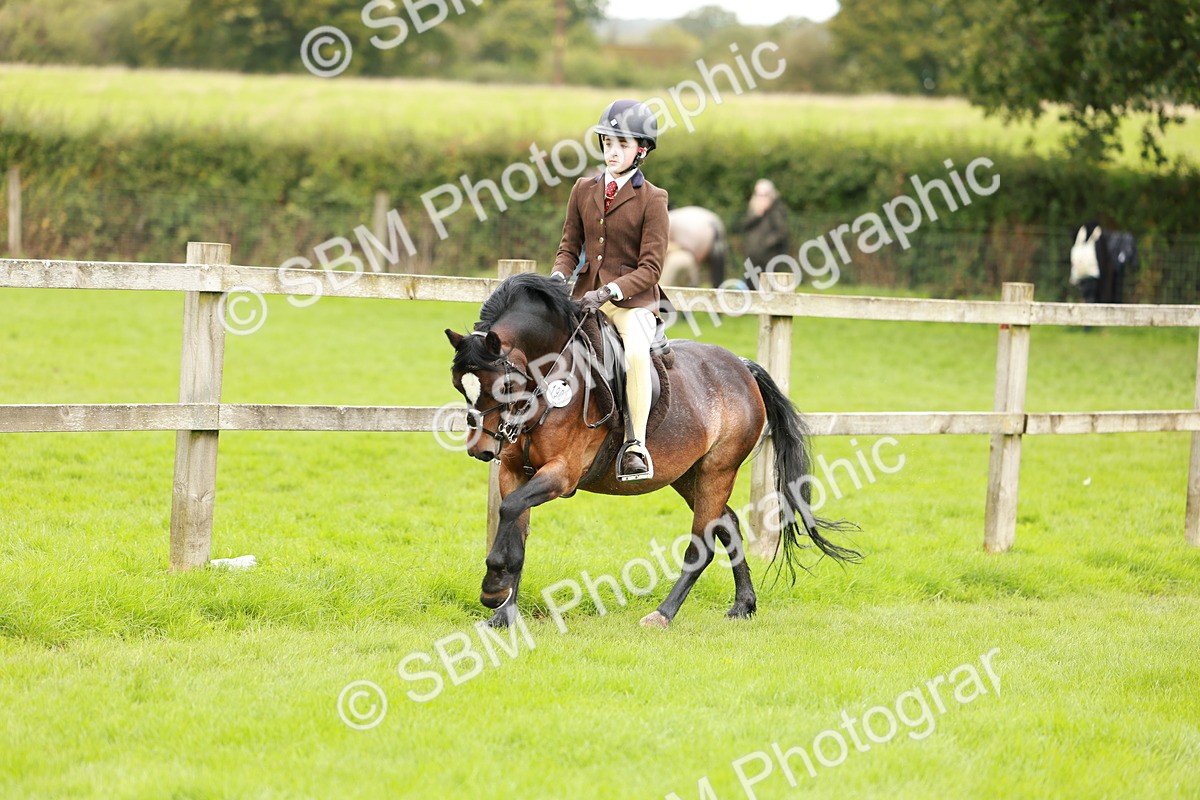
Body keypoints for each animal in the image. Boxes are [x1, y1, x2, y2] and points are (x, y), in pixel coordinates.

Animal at [444, 273, 859, 629]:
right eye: (460, 386)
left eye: (504, 385)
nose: (481, 451)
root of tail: (740, 366)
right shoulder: (514, 472)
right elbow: (515, 531)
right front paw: (503, 611)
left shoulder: (561, 474)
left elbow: (510, 511)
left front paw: (492, 589)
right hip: (687, 475)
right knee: (728, 525)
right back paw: (743, 605)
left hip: (719, 469)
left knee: (703, 543)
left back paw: (663, 614)